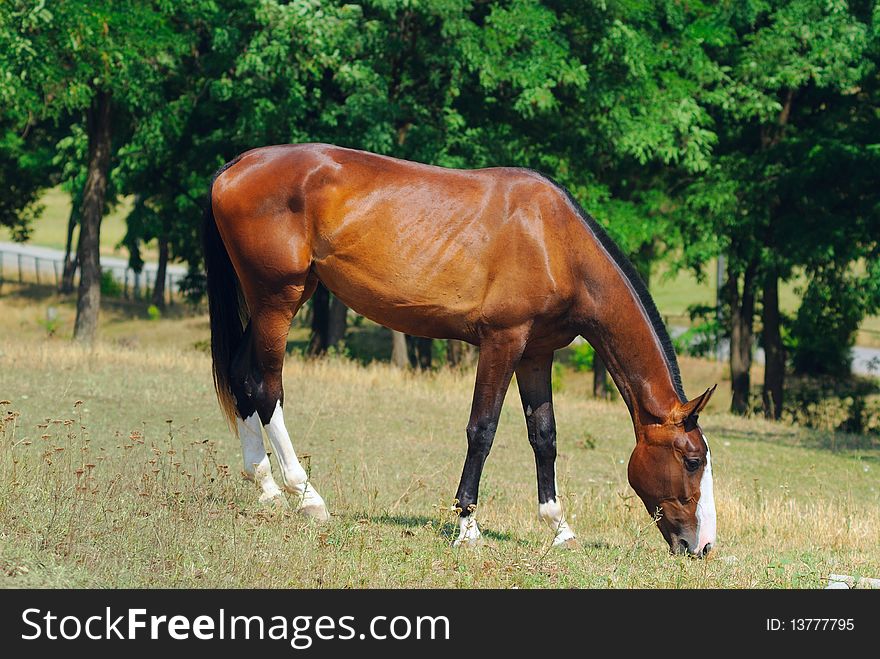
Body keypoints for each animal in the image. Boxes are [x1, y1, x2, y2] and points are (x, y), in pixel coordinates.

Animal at [203, 143, 720, 556]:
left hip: (276, 301)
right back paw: (306, 496)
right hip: (277, 299)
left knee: (242, 375)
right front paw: (468, 525)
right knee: (267, 388)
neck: (554, 241)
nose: (701, 547)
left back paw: (265, 486)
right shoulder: (502, 342)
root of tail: (237, 165)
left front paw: (559, 527)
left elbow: (544, 436)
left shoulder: (536, 353)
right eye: (692, 461)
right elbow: (483, 430)